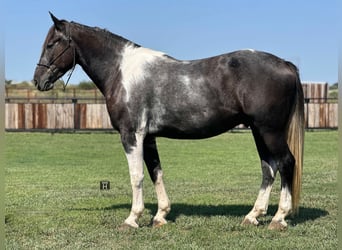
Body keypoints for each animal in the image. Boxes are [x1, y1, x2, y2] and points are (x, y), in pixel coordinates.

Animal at [33, 12, 304, 229]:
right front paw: (160, 216)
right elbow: (156, 172)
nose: (38, 80)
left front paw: (132, 219)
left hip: (270, 131)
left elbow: (137, 176)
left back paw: (279, 218)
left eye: (52, 43)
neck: (121, 71)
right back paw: (253, 216)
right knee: (269, 168)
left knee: (286, 163)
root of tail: (285, 64)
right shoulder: (148, 137)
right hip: (259, 131)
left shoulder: (131, 135)